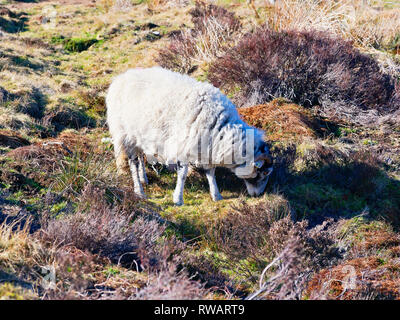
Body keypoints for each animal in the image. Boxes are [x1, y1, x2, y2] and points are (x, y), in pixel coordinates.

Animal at [106, 67, 274, 205]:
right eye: (264, 173)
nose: (258, 195)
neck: (221, 126)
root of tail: (119, 79)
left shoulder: (208, 147)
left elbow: (210, 172)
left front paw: (216, 195)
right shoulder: (183, 146)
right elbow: (182, 174)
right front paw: (178, 199)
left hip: (139, 136)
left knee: (140, 157)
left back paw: (144, 179)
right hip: (125, 134)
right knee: (133, 163)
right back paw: (139, 191)